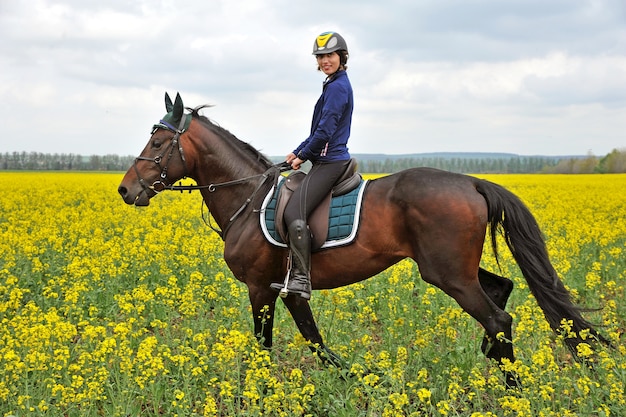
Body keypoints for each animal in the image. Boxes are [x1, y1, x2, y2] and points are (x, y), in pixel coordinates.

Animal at [117, 92, 604, 386]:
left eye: (157, 143)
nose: (126, 190)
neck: (247, 197)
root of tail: (470, 182)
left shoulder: (260, 288)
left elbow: (267, 343)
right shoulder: (286, 289)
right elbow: (312, 337)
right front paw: (351, 377)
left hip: (447, 273)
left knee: (498, 317)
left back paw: (512, 387)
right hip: (453, 268)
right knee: (502, 290)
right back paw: (492, 357)